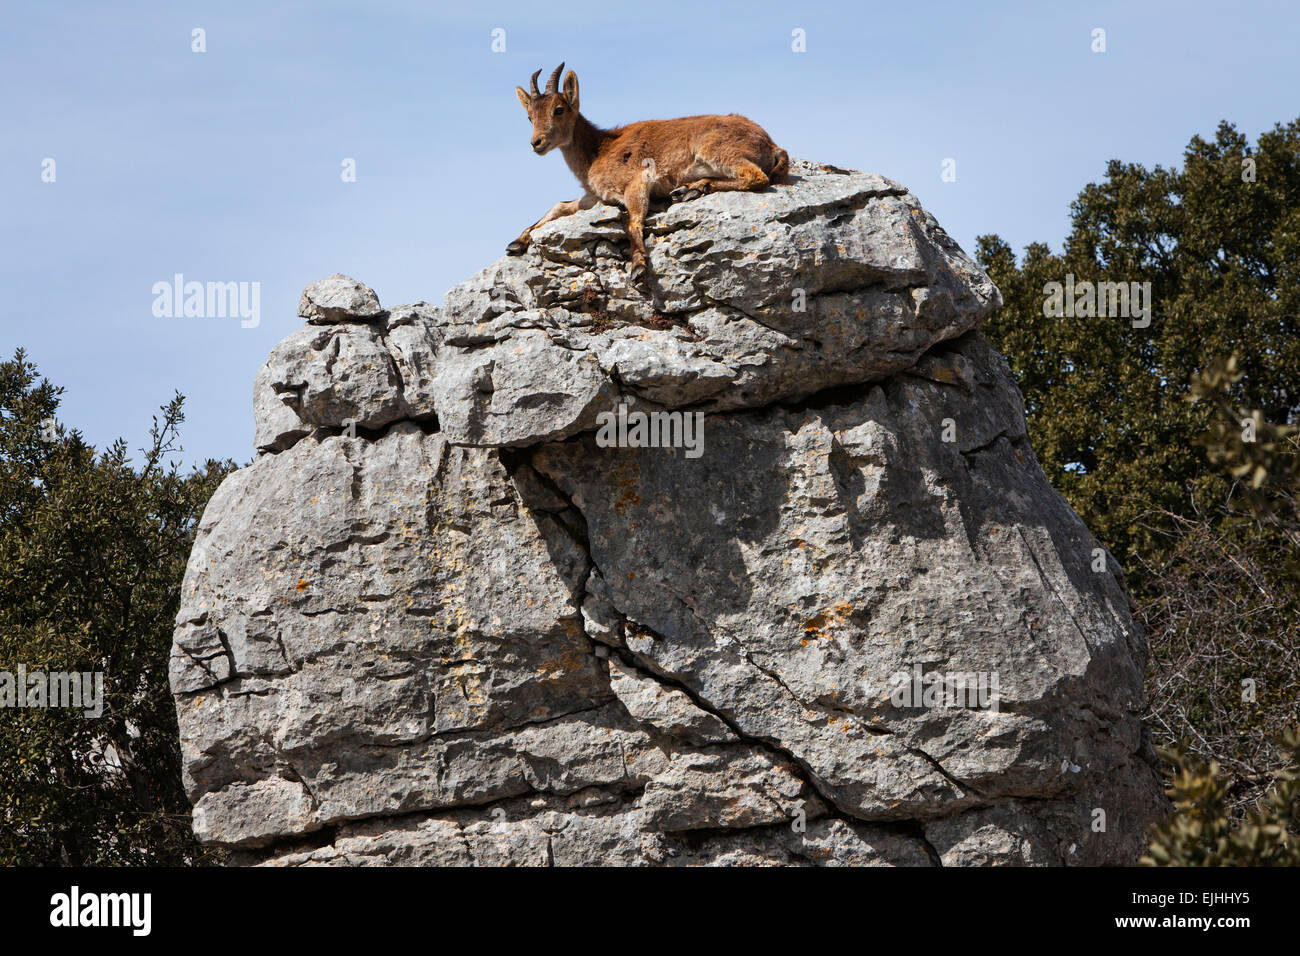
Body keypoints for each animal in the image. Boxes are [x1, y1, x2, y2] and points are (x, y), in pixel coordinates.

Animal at [508, 63, 789, 282]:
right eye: (530, 116)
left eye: (558, 109)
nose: (537, 143)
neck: (598, 150)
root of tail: (771, 144)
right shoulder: (594, 197)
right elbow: (557, 207)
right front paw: (516, 243)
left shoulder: (637, 182)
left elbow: (633, 222)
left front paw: (638, 267)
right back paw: (692, 188)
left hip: (714, 148)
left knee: (755, 176)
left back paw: (693, 187)